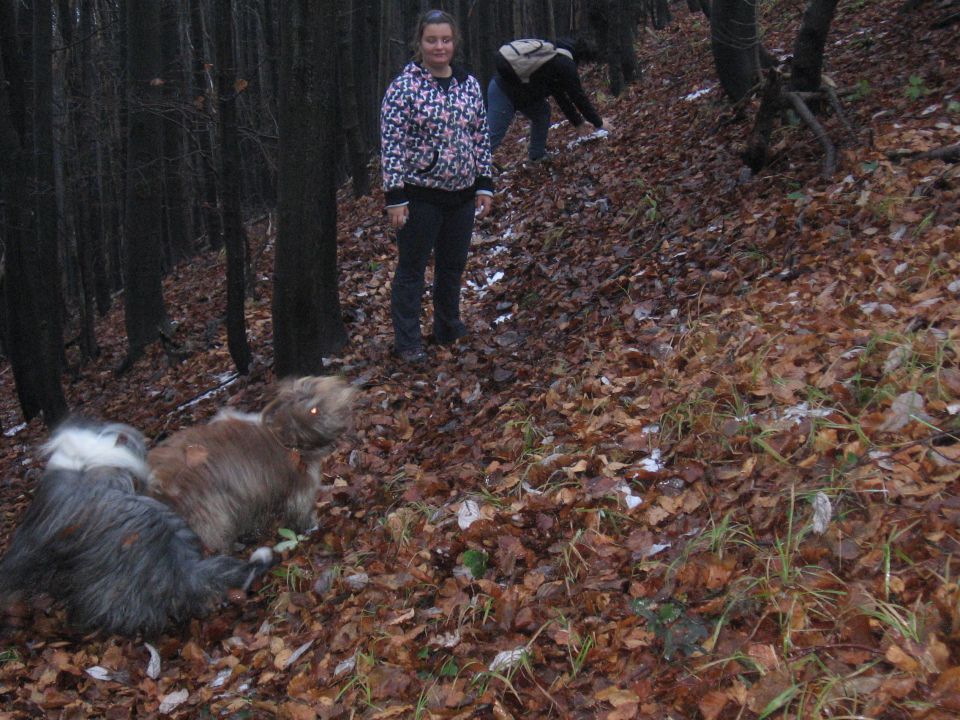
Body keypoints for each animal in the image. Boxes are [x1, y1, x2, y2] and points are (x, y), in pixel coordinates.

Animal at [142, 374, 352, 556]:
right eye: (314, 409)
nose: (346, 390)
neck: (284, 437)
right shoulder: (299, 489)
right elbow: (300, 511)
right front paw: (311, 526)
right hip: (211, 514)